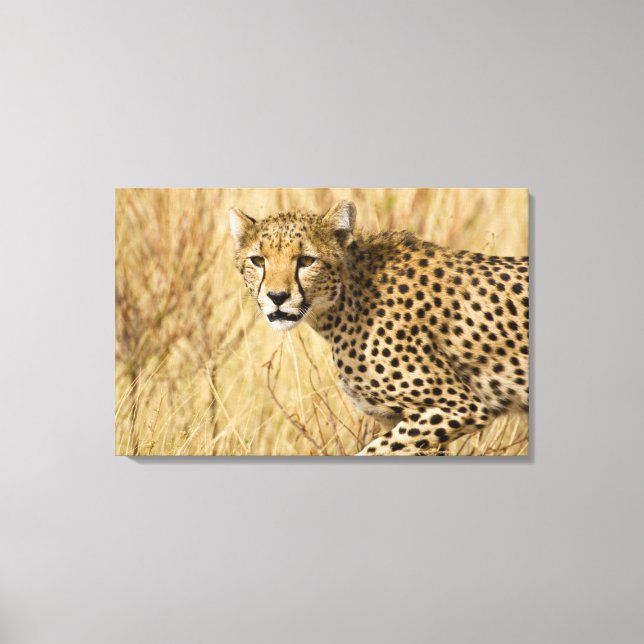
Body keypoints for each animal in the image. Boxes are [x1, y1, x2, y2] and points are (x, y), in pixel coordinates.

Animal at [229, 200, 529, 456]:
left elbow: (372, 451)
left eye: (306, 260)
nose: (277, 297)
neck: (346, 300)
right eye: (258, 260)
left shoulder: (462, 406)